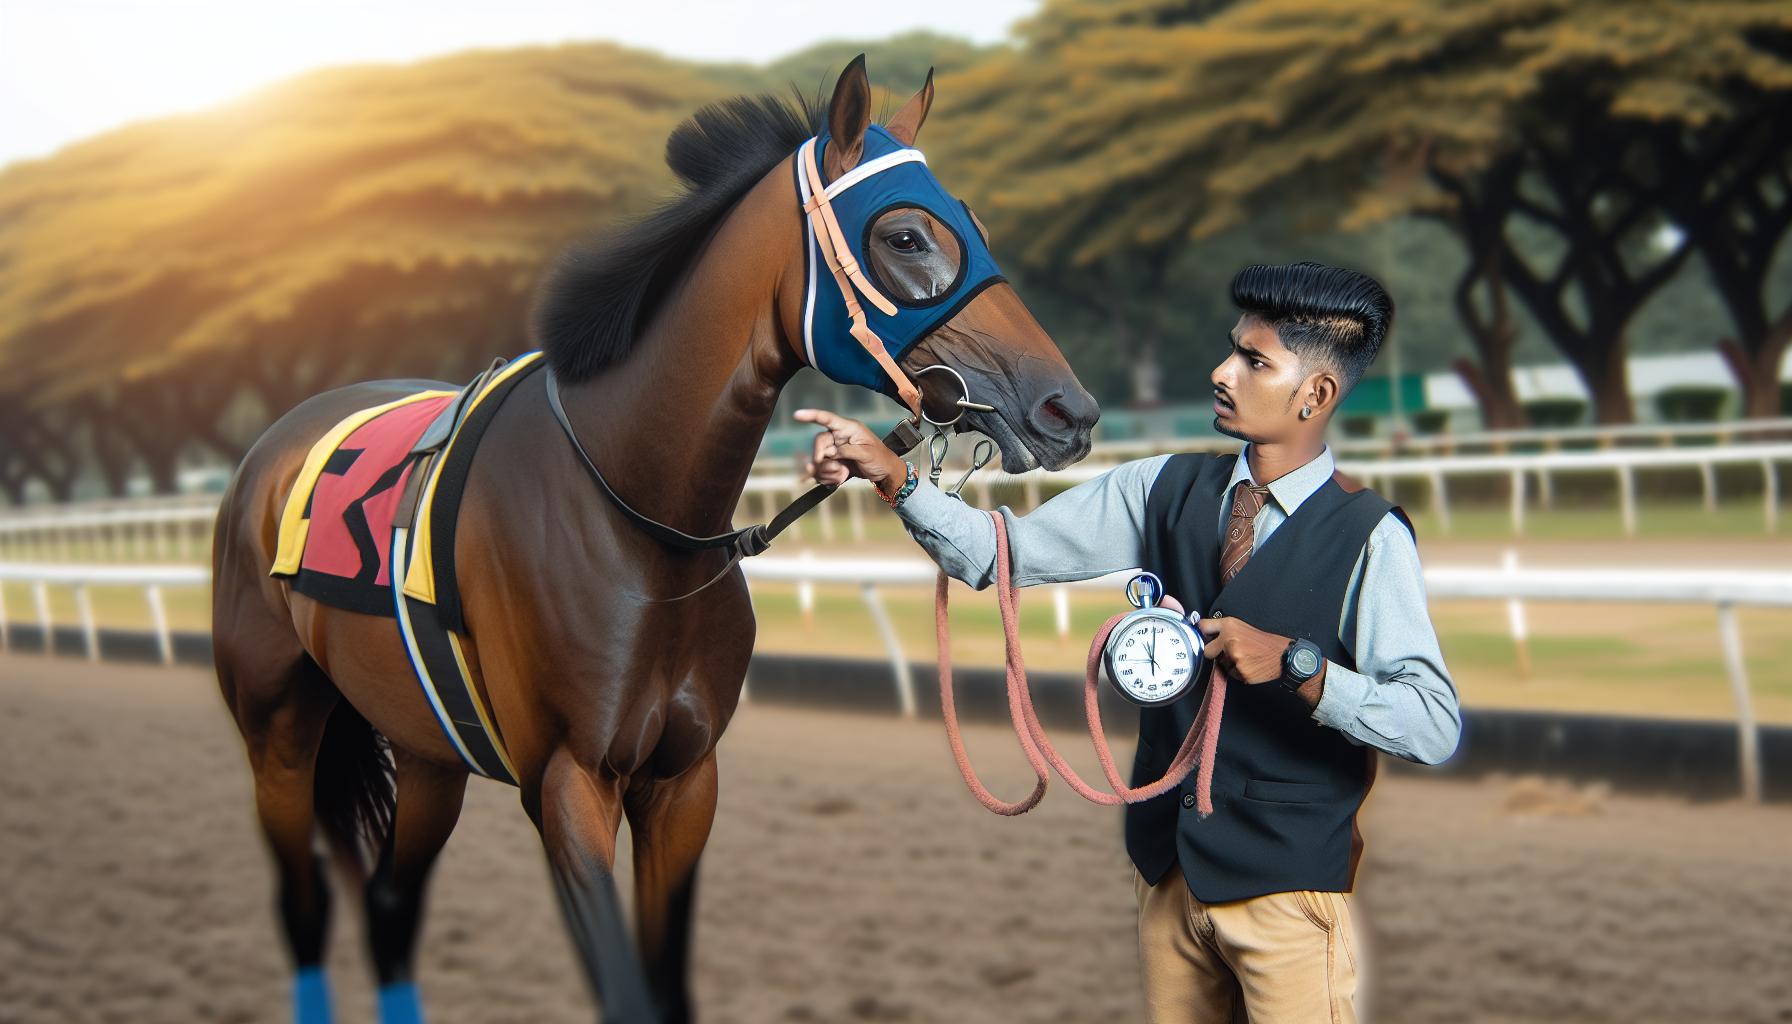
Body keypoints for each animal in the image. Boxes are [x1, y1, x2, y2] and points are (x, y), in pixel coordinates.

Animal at [211, 55, 1100, 1023]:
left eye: (973, 225)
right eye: (905, 237)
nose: (1069, 410)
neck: (636, 521)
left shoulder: (684, 778)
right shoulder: (568, 780)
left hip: (423, 747)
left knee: (388, 905)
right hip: (278, 729)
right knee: (303, 904)